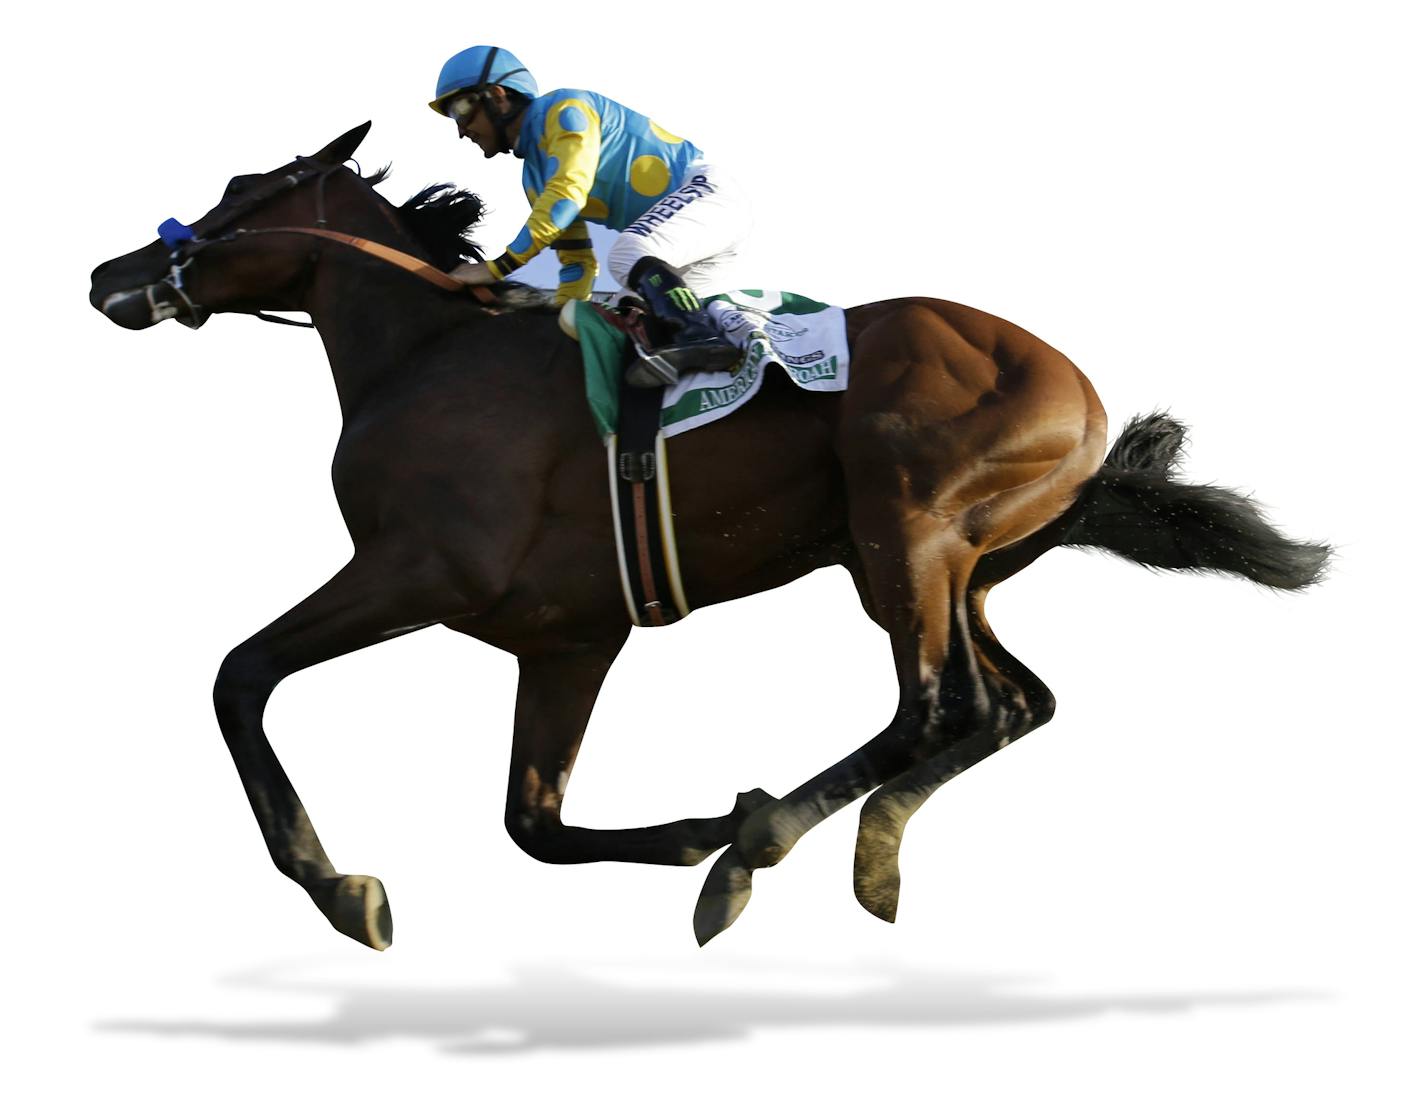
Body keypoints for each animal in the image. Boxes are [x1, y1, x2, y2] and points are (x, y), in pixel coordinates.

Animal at [89, 123, 1327, 945]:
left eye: (240, 191)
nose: (113, 272)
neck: (428, 351)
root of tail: (1080, 397)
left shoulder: (419, 570)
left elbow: (239, 676)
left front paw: (338, 886)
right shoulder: (566, 638)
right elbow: (533, 822)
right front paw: (693, 828)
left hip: (903, 532)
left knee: (943, 706)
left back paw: (765, 849)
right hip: (956, 568)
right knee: (1014, 703)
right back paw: (824, 847)